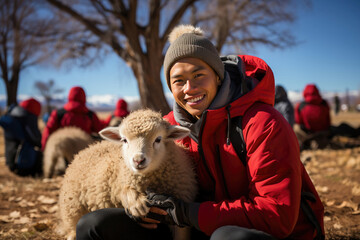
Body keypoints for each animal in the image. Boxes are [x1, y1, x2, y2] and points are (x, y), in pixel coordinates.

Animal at [57, 109, 197, 240]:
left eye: (158, 139)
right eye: (124, 140)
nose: (138, 160)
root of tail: (89, 147)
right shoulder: (119, 182)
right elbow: (124, 190)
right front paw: (136, 204)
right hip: (72, 209)